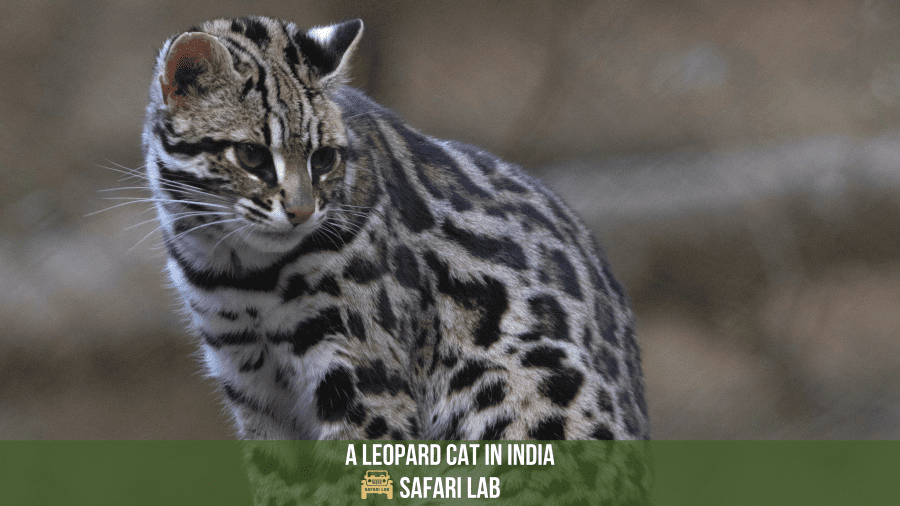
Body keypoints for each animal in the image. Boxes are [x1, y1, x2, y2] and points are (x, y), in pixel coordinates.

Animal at [141, 15, 649, 445]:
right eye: (251, 155)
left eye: (323, 158)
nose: (302, 212)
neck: (240, 273)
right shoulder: (252, 388)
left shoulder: (365, 380)